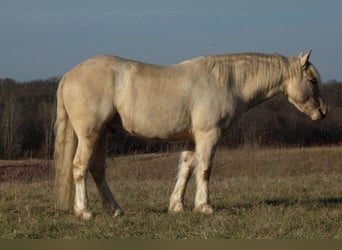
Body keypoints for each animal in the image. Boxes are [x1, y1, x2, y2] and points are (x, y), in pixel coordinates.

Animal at [54, 50, 328, 219]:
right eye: (313, 80)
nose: (323, 112)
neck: (226, 82)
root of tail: (69, 75)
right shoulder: (209, 135)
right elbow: (205, 169)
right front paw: (204, 206)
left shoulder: (192, 137)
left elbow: (186, 168)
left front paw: (177, 206)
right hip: (89, 134)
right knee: (79, 167)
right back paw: (85, 212)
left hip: (101, 134)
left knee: (97, 170)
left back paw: (115, 210)